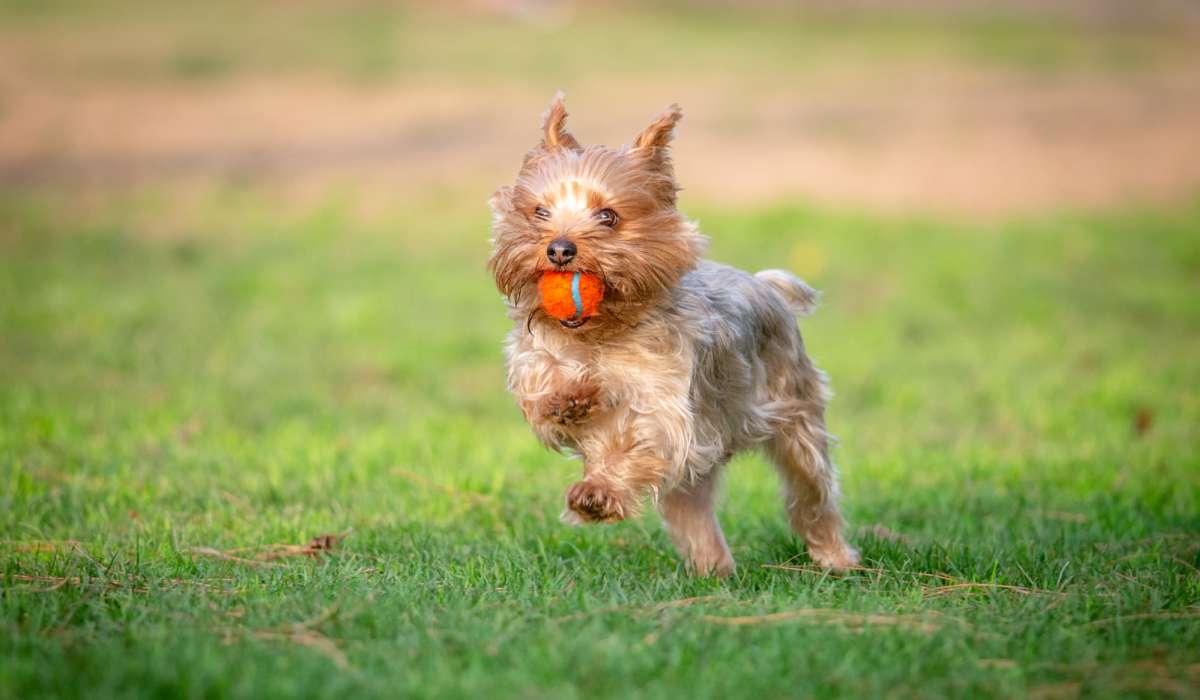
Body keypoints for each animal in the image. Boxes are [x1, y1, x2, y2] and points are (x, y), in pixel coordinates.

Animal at [482, 93, 859, 576]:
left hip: (795, 410)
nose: (560, 249)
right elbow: (544, 396)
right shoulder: (535, 361)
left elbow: (642, 439)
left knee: (811, 490)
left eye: (608, 216)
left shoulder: (666, 406)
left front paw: (598, 493)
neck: (601, 331)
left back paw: (837, 560)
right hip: (705, 462)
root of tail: (768, 285)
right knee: (692, 509)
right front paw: (570, 398)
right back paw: (714, 569)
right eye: (539, 212)